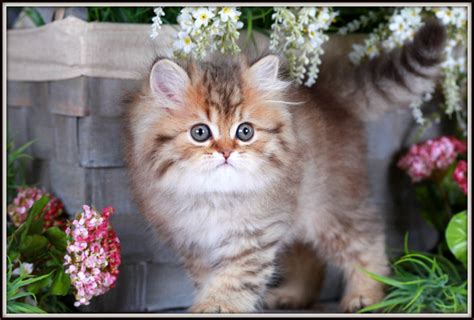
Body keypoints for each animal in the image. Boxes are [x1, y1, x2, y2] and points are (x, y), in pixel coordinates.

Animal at [124, 20, 446, 312]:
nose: (226, 152)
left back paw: (367, 295)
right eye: (200, 132)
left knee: (366, 242)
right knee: (309, 257)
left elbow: (234, 280)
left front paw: (216, 306)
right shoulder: (191, 244)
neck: (215, 196)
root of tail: (327, 95)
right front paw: (210, 300)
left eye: (245, 132)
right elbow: (209, 279)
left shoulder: (254, 236)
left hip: (334, 208)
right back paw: (294, 295)